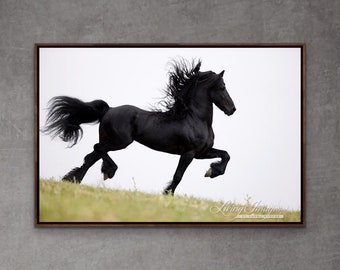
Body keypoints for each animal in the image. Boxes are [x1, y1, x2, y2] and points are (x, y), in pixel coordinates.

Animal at [43, 59, 236, 194]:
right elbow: (178, 175)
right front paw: (167, 194)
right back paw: (108, 171)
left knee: (92, 156)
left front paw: (212, 171)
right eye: (222, 87)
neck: (194, 118)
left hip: (110, 140)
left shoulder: (201, 153)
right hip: (120, 142)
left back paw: (73, 180)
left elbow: (226, 155)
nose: (232, 109)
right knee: (97, 149)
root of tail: (109, 110)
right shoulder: (189, 153)